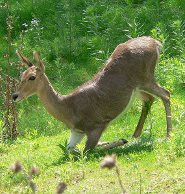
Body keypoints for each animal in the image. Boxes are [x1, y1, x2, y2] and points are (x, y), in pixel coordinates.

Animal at [12, 36, 172, 152]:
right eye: (21, 75)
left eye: (32, 77)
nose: (14, 95)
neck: (68, 109)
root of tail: (156, 43)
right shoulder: (76, 132)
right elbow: (68, 149)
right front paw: (111, 141)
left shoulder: (95, 126)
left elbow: (88, 150)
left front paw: (120, 141)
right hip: (137, 88)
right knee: (149, 99)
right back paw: (136, 134)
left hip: (146, 77)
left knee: (166, 94)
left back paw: (168, 134)